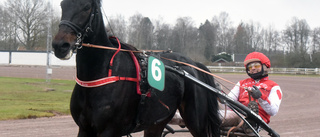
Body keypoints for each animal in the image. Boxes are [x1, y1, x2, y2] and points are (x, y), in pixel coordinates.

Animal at [52, 0, 221, 136]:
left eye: (86, 7)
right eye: (62, 4)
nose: (60, 45)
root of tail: (194, 64)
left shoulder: (109, 130)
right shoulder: (84, 128)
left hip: (196, 121)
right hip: (157, 121)